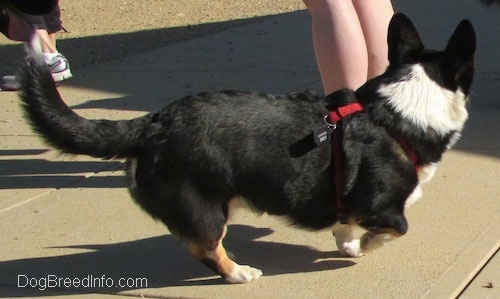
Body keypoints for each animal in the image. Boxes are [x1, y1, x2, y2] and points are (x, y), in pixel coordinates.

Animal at [18, 14, 472, 284]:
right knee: (205, 247)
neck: (398, 110)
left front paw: (348, 243)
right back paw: (238, 272)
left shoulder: (349, 201)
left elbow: (344, 225)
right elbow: (395, 228)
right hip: (207, 208)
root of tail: (152, 123)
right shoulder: (383, 208)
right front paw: (364, 246)